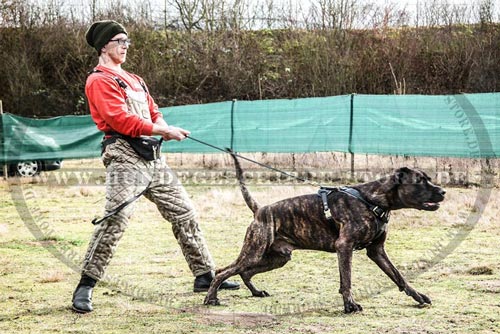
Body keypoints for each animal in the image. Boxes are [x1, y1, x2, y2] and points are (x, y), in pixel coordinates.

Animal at [203, 154, 446, 314]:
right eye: (420, 181)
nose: (443, 191)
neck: (373, 200)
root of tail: (260, 210)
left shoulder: (377, 251)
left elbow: (398, 276)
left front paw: (417, 296)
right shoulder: (344, 247)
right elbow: (347, 279)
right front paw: (350, 305)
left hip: (277, 258)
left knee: (244, 272)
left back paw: (255, 292)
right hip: (255, 252)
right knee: (224, 271)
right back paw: (210, 298)